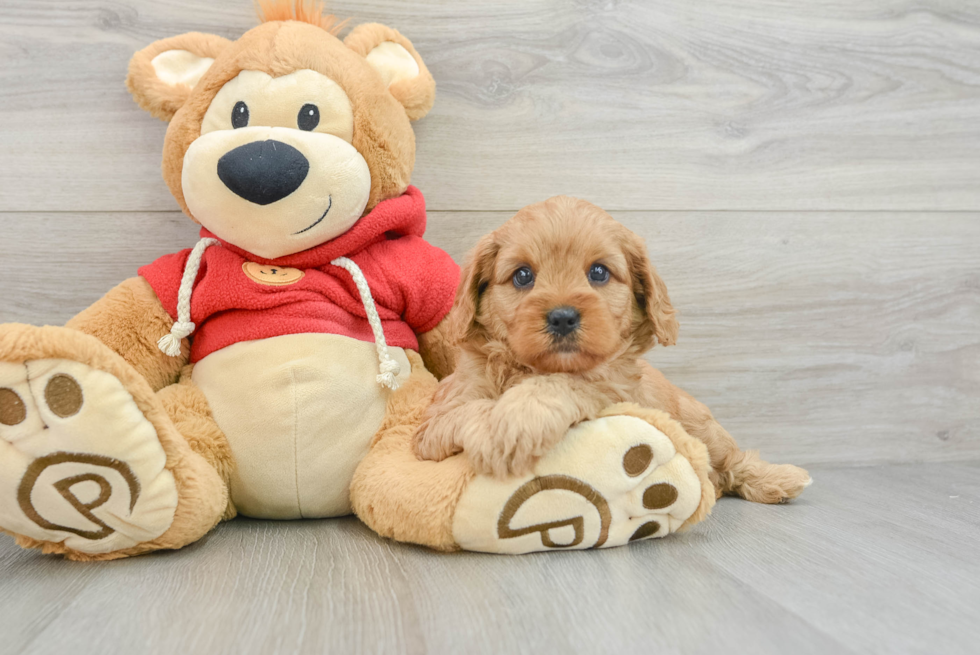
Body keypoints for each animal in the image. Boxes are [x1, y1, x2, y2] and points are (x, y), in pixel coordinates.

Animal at [414, 195, 812, 502]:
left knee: (732, 462)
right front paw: (500, 431)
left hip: (701, 424)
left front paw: (518, 418)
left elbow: (567, 383)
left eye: (599, 273)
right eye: (523, 275)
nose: (562, 317)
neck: (530, 367)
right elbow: (468, 411)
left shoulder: (614, 390)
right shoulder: (431, 429)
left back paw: (779, 479)